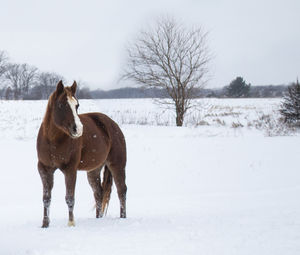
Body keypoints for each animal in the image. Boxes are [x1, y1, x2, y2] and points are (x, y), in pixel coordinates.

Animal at [37, 80, 127, 228]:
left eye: (77, 105)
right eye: (61, 105)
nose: (78, 129)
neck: (52, 140)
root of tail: (113, 124)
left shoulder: (70, 169)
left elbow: (70, 198)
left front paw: (71, 224)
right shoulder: (44, 169)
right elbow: (46, 198)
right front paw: (45, 224)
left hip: (117, 165)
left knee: (121, 191)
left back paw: (123, 218)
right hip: (93, 171)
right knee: (98, 193)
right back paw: (98, 219)